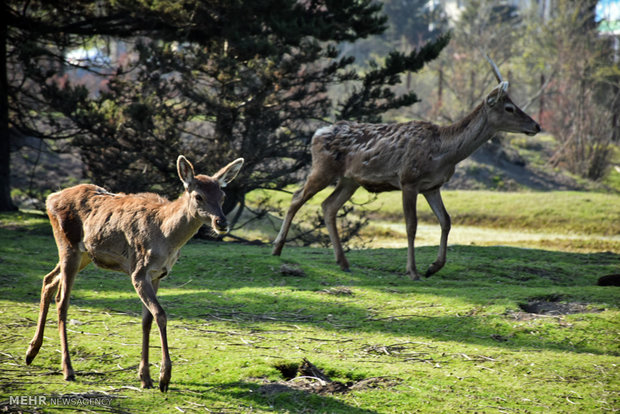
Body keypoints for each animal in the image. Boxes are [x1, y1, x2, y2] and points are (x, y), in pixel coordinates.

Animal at [26, 155, 245, 392]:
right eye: (198, 196)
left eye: (222, 196)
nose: (222, 223)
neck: (166, 237)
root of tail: (51, 198)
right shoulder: (138, 271)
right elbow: (160, 314)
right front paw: (164, 377)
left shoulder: (158, 274)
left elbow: (146, 320)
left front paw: (145, 377)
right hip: (67, 245)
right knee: (62, 300)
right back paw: (67, 369)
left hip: (85, 254)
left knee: (48, 280)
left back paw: (31, 352)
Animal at [274, 55, 540, 280]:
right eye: (509, 108)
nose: (536, 125)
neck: (444, 153)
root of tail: (316, 133)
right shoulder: (408, 179)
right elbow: (411, 225)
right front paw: (413, 271)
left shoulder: (432, 186)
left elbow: (446, 221)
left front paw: (434, 267)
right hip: (323, 168)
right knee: (297, 197)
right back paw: (277, 248)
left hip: (350, 181)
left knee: (328, 206)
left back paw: (343, 262)